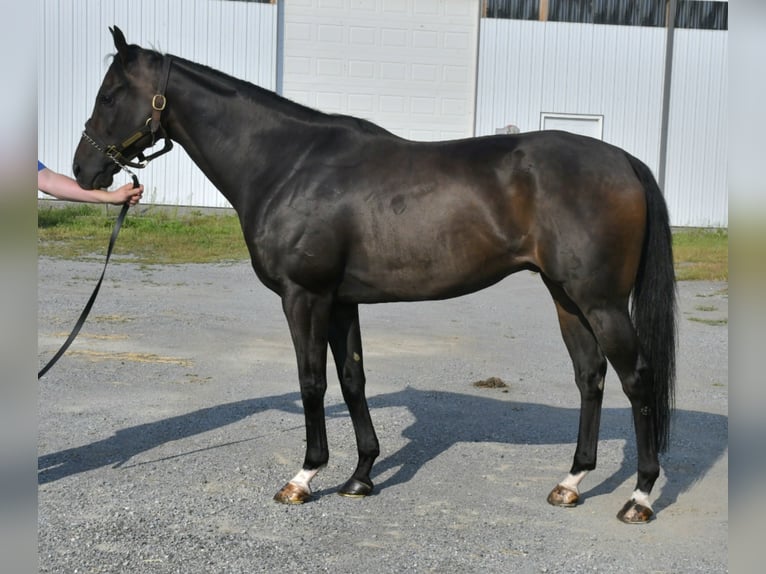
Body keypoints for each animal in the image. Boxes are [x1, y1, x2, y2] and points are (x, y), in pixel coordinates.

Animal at [73, 24, 680, 524]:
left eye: (110, 95)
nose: (84, 169)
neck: (287, 163)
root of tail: (625, 161)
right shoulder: (342, 301)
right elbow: (352, 380)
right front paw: (361, 476)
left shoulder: (305, 296)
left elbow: (312, 381)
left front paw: (303, 477)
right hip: (567, 297)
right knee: (590, 377)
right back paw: (571, 483)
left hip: (600, 301)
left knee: (636, 378)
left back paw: (640, 496)